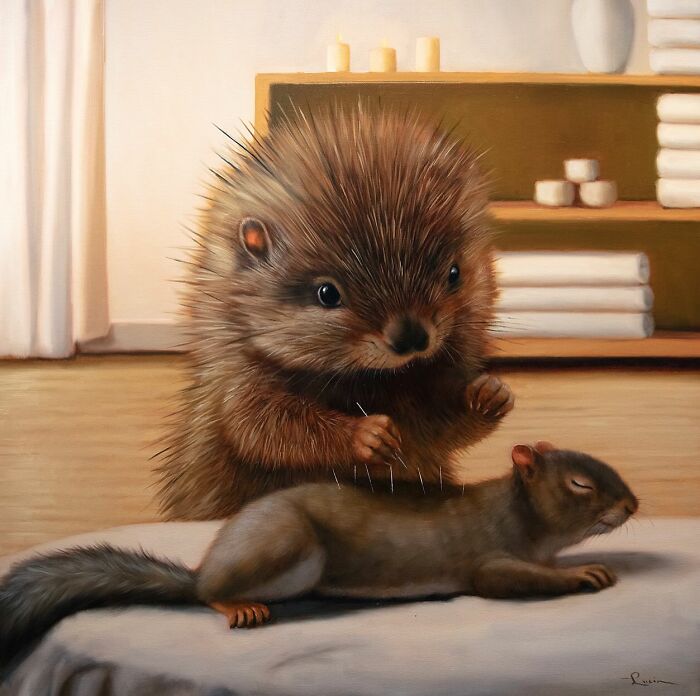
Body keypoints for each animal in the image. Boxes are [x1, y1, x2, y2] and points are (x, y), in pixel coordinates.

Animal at [0, 442, 638, 660]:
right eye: (580, 483)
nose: (633, 504)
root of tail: (205, 564)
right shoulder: (489, 557)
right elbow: (509, 578)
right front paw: (585, 574)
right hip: (287, 545)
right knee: (209, 594)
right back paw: (234, 604)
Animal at [154, 106, 512, 521]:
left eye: (453, 273)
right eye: (328, 293)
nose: (411, 338)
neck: (369, 381)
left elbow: (438, 430)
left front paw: (490, 393)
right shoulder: (236, 377)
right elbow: (258, 424)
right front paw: (368, 435)